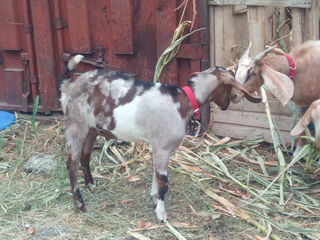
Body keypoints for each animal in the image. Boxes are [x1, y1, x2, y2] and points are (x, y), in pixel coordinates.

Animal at [60, 54, 262, 221]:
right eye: (230, 84)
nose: (232, 100)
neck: (185, 101)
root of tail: (70, 85)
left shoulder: (157, 147)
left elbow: (155, 175)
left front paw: (154, 200)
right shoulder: (164, 147)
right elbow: (163, 182)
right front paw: (161, 214)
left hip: (91, 128)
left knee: (85, 156)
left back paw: (91, 185)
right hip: (77, 124)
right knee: (71, 162)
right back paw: (80, 203)